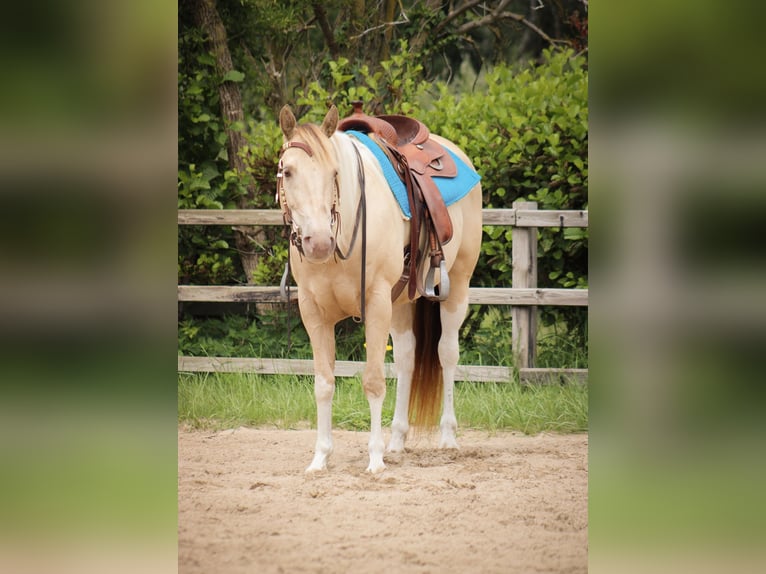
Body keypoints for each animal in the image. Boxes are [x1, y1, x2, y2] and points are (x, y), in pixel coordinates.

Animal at [277, 104, 482, 473]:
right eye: (287, 172)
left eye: (334, 173)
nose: (318, 242)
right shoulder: (313, 312)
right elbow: (324, 385)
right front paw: (320, 457)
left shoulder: (375, 304)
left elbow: (373, 382)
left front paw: (374, 459)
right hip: (401, 302)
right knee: (406, 359)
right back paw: (397, 440)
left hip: (456, 288)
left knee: (447, 353)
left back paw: (447, 437)